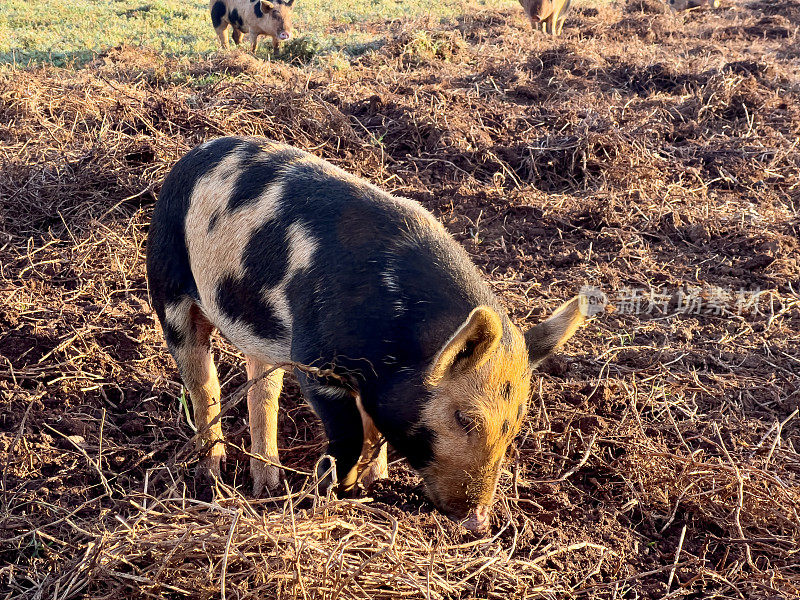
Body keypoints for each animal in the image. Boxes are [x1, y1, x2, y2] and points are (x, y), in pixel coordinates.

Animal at [148, 136, 588, 528]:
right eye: (464, 418)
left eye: (515, 423)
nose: (478, 521)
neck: (397, 343)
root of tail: (194, 154)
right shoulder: (317, 365)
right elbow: (351, 432)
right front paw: (331, 494)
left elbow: (373, 426)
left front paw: (376, 481)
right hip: (168, 287)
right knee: (203, 384)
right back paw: (212, 475)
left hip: (261, 334)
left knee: (263, 393)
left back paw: (267, 485)